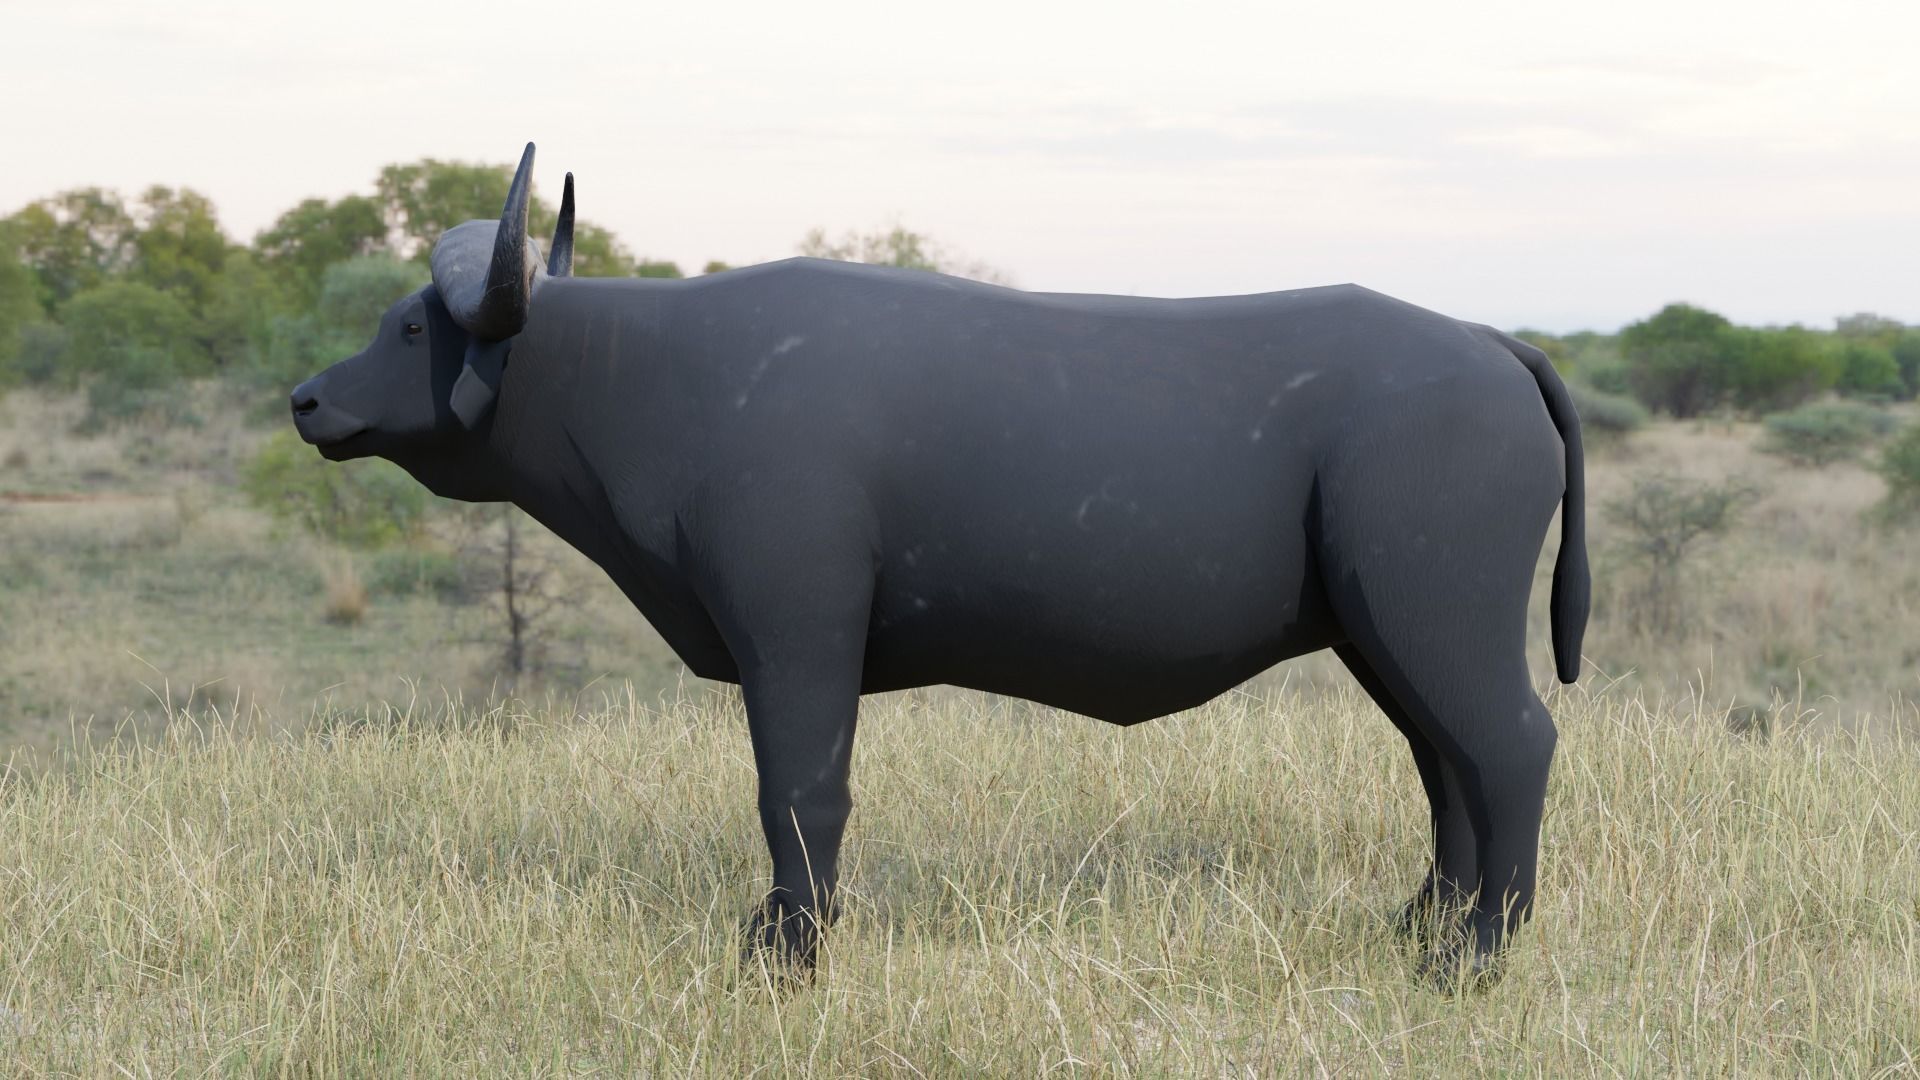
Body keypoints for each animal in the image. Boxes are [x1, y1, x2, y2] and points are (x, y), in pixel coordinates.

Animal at [292, 143, 1588, 988]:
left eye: (412, 324)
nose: (307, 399)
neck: (642, 372)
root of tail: (1490, 346)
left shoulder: (796, 633)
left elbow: (800, 793)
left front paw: (786, 956)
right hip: (1385, 634)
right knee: (1443, 766)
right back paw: (1422, 932)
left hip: (1439, 621)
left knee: (1508, 746)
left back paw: (1476, 958)